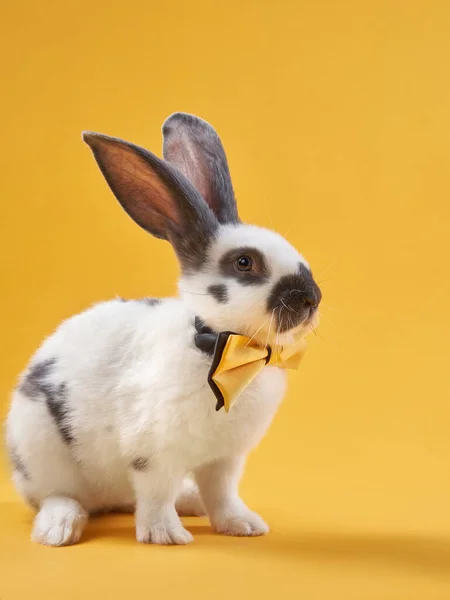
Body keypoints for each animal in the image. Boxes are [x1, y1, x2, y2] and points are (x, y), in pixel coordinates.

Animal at [5, 110, 322, 548]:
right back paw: (60, 528)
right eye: (244, 263)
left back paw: (191, 502)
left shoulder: (225, 459)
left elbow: (222, 493)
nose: (311, 298)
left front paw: (242, 525)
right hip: (41, 452)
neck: (218, 347)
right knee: (56, 495)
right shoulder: (154, 453)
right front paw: (165, 536)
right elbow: (156, 494)